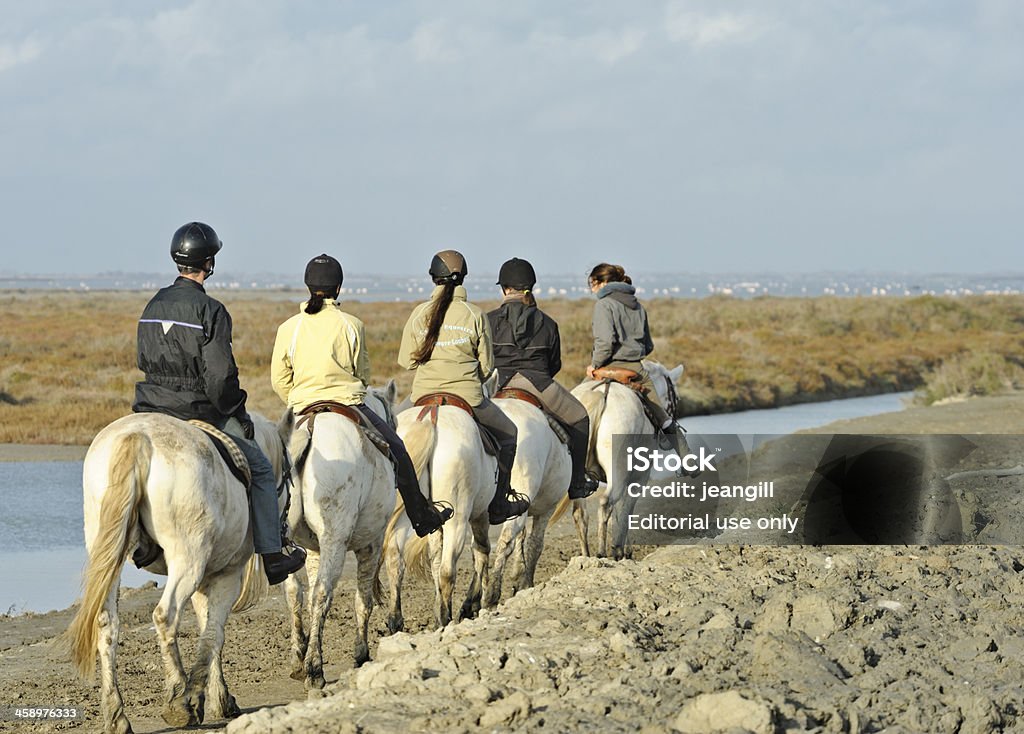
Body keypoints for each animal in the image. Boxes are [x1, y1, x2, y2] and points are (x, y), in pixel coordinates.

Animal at [65, 411, 284, 732]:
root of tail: (138, 436)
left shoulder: (208, 579)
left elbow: (207, 630)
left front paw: (217, 696)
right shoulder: (227, 575)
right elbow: (214, 634)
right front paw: (205, 698)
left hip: (109, 555)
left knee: (107, 624)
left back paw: (117, 717)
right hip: (187, 561)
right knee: (165, 615)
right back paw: (180, 700)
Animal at [280, 382, 399, 687]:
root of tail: (309, 433)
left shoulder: (313, 550)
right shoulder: (371, 544)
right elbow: (363, 600)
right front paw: (361, 653)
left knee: (295, 592)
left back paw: (299, 659)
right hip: (336, 539)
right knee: (323, 593)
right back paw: (314, 668)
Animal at [382, 401, 497, 630]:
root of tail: (430, 418)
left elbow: (436, 560)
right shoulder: (480, 514)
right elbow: (480, 551)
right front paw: (479, 603)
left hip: (407, 515)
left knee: (395, 559)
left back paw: (395, 620)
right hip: (457, 521)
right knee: (447, 570)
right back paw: (444, 619)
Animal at [477, 393, 569, 610]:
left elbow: (522, 539)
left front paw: (518, 577)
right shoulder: (546, 509)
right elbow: (535, 544)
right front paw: (525, 584)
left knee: (479, 548)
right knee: (504, 542)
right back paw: (491, 595)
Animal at [565, 360, 684, 556]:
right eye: (676, 398)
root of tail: (601, 394)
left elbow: (621, 511)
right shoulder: (638, 479)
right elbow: (626, 511)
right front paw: (622, 551)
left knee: (579, 513)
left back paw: (586, 556)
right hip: (619, 473)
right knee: (605, 504)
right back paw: (603, 553)